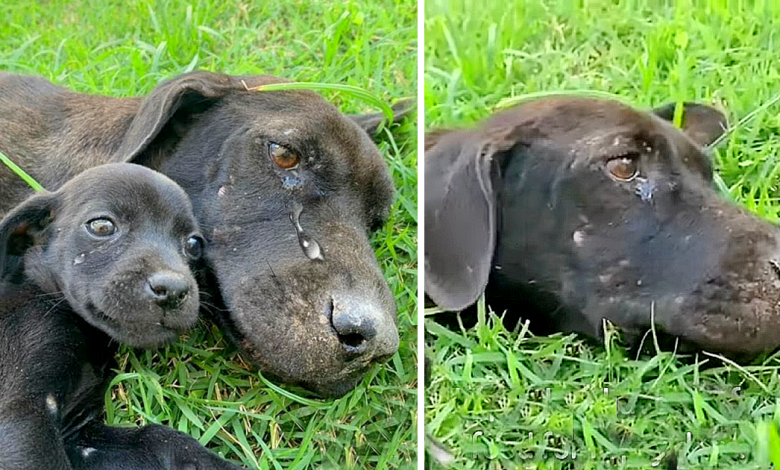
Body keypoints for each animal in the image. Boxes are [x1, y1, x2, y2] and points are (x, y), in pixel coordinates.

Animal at [0, 162, 241, 470]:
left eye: (193, 244)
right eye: (102, 226)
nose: (173, 290)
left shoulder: (80, 434)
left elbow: (158, 438)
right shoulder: (22, 415)